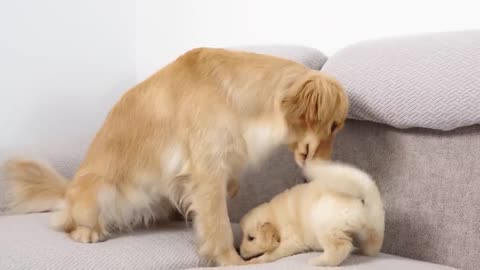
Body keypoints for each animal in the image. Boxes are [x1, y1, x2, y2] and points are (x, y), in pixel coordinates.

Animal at [2, 47, 348, 264]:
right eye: (333, 126)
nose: (328, 166)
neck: (233, 97)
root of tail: (68, 189)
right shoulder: (206, 172)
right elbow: (218, 225)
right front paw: (231, 260)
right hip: (98, 189)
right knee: (67, 222)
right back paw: (88, 232)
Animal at [240, 160, 386, 266]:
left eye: (251, 238)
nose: (240, 252)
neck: (275, 216)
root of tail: (361, 195)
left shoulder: (291, 241)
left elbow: (269, 255)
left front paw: (252, 262)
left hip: (325, 225)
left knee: (340, 248)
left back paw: (318, 261)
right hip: (375, 228)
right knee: (372, 247)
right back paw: (362, 251)